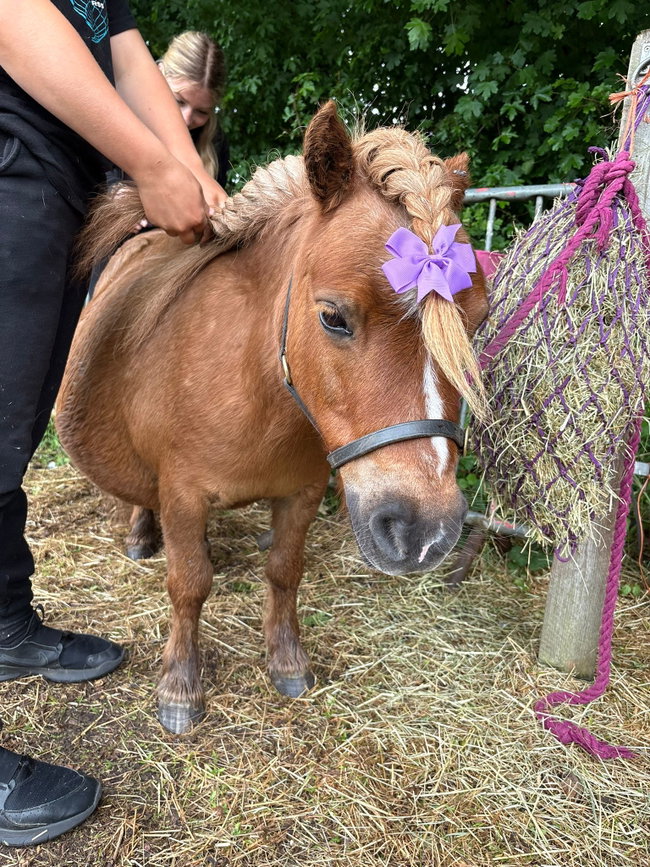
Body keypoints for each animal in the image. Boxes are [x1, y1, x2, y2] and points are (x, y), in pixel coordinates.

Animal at [56, 101, 489, 733]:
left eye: (476, 321)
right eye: (333, 317)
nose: (424, 531)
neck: (253, 390)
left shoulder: (303, 492)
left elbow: (285, 571)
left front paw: (287, 662)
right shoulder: (182, 494)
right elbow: (189, 585)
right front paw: (180, 687)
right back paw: (141, 532)